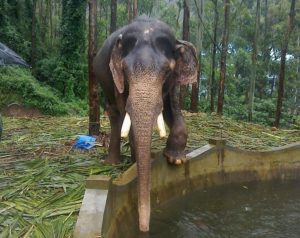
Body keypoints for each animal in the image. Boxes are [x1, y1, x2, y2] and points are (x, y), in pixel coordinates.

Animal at [92, 16, 198, 232]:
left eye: (166, 71)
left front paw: (176, 159)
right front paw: (140, 162)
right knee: (114, 113)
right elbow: (126, 113)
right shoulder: (116, 77)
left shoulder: (172, 83)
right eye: (125, 70)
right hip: (102, 77)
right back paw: (113, 162)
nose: (144, 228)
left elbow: (172, 109)